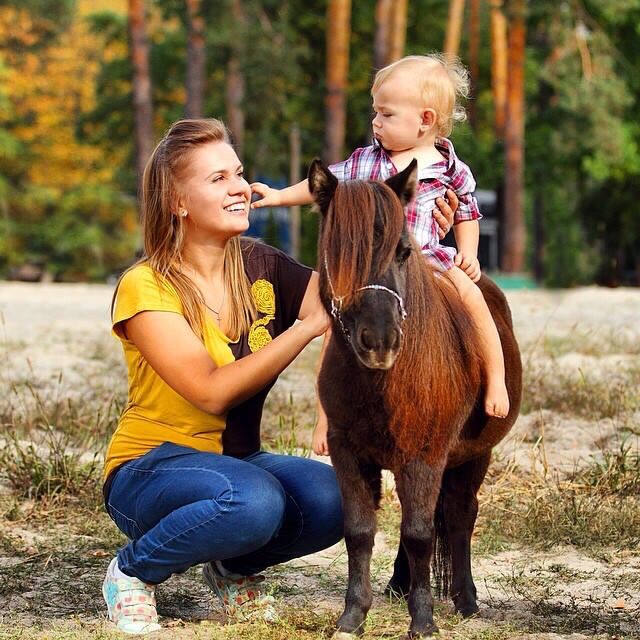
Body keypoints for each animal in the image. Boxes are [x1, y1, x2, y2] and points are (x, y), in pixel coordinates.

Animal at [308, 158, 524, 636]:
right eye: (338, 251)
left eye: (404, 252)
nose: (380, 341)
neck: (385, 382)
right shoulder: (349, 454)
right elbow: (360, 531)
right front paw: (353, 615)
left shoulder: (424, 456)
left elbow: (421, 535)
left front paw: (423, 618)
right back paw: (397, 585)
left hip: (473, 456)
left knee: (460, 516)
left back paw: (465, 598)